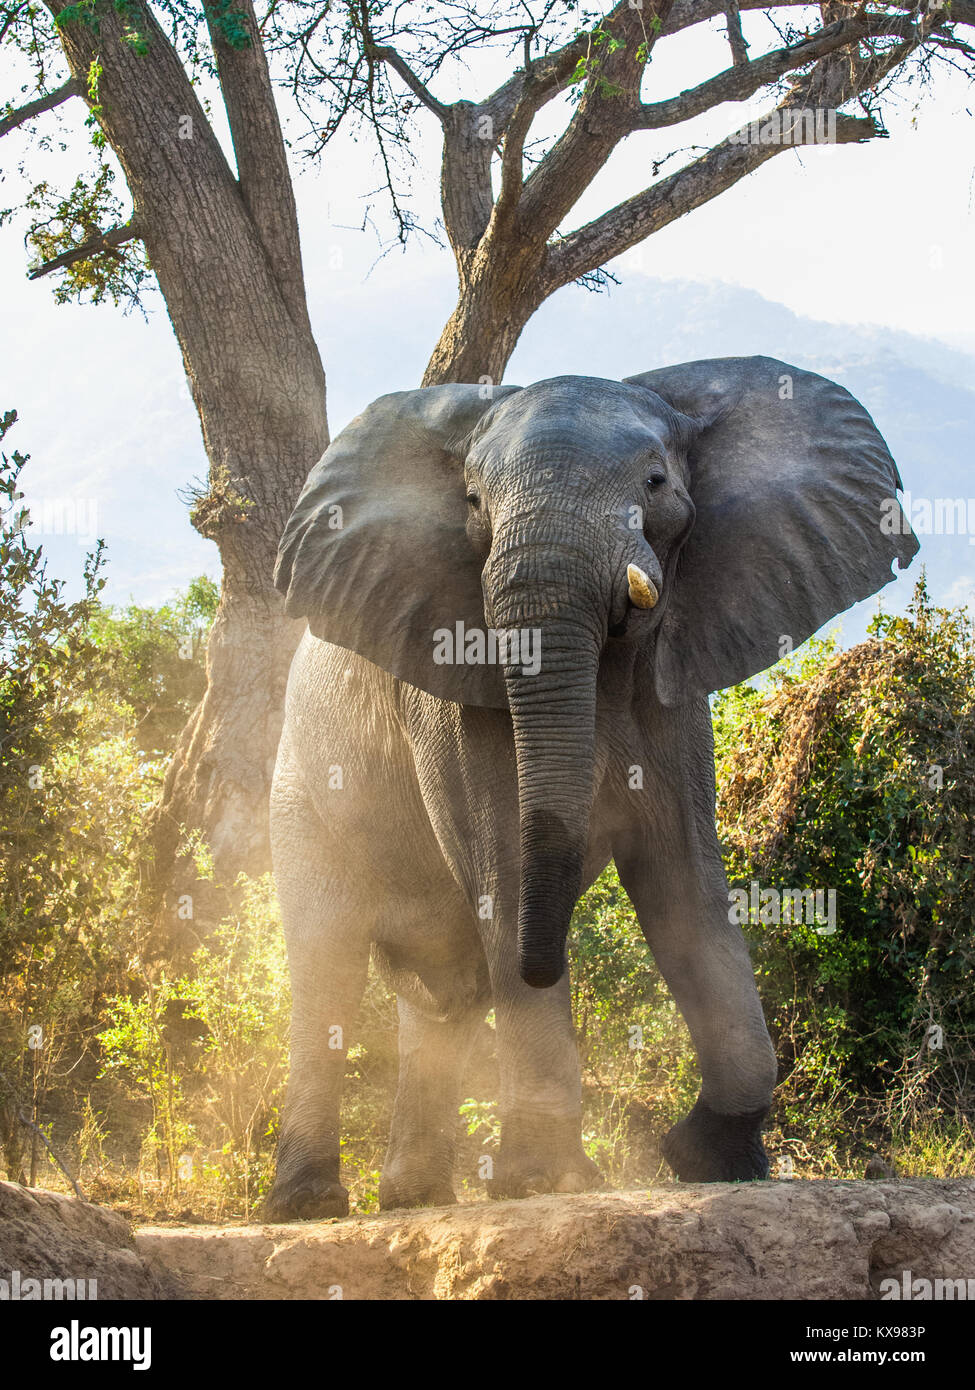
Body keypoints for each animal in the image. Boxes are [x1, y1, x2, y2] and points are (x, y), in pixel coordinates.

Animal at [262, 355, 917, 1217]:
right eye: (472, 503)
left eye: (654, 482)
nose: (547, 961)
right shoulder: (453, 704)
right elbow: (507, 878)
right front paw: (547, 1182)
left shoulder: (674, 696)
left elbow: (685, 887)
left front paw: (710, 1157)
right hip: (300, 791)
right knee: (328, 965)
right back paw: (308, 1205)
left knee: (442, 994)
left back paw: (416, 1200)